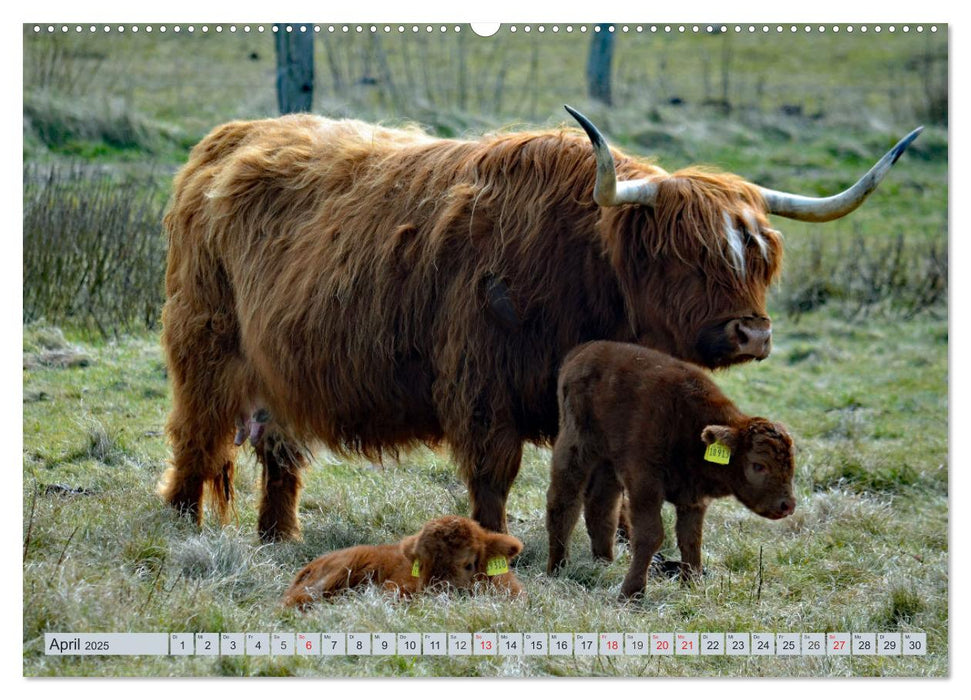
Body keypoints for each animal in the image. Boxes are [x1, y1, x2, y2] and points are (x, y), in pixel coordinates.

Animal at [158, 105, 920, 540]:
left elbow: (617, 481)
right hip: (207, 346)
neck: (585, 272)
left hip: (279, 370)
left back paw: (278, 536)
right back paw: (182, 521)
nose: (751, 334)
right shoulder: (481, 387)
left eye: (759, 257)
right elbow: (493, 476)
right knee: (197, 436)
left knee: (280, 451)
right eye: (686, 256)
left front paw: (620, 544)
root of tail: (230, 138)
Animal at [548, 342, 796, 600]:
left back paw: (604, 562)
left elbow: (691, 540)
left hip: (608, 462)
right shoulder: (645, 484)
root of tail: (583, 350)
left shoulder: (694, 500)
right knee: (564, 501)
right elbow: (651, 535)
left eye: (791, 465)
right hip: (576, 446)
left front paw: (692, 585)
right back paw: (557, 567)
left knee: (601, 507)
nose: (787, 505)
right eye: (758, 465)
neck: (690, 426)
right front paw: (632, 593)